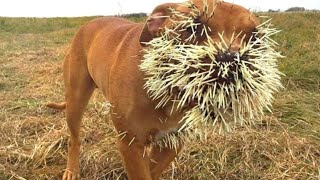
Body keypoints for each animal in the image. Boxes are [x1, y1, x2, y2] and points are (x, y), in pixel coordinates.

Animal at [47, 0, 258, 179]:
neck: (170, 93)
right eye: (193, 28)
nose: (231, 59)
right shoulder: (130, 144)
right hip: (76, 100)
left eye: (255, 37)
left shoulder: (173, 141)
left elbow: (152, 169)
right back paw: (72, 170)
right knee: (74, 139)